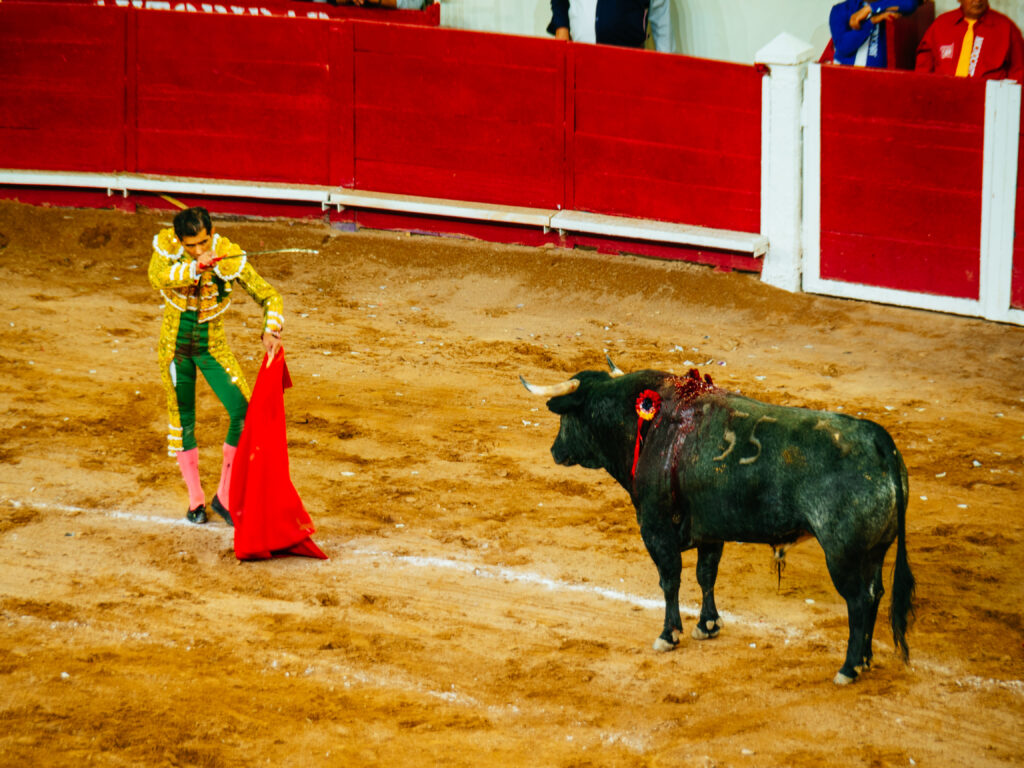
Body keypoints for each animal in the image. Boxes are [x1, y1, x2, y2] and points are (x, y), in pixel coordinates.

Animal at [524, 360, 917, 684]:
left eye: (567, 418)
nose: (554, 451)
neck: (649, 428)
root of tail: (878, 440)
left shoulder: (655, 527)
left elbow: (670, 580)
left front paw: (669, 634)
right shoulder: (710, 532)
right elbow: (706, 575)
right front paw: (708, 625)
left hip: (843, 555)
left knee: (859, 601)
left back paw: (849, 667)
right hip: (875, 551)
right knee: (876, 594)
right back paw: (865, 660)